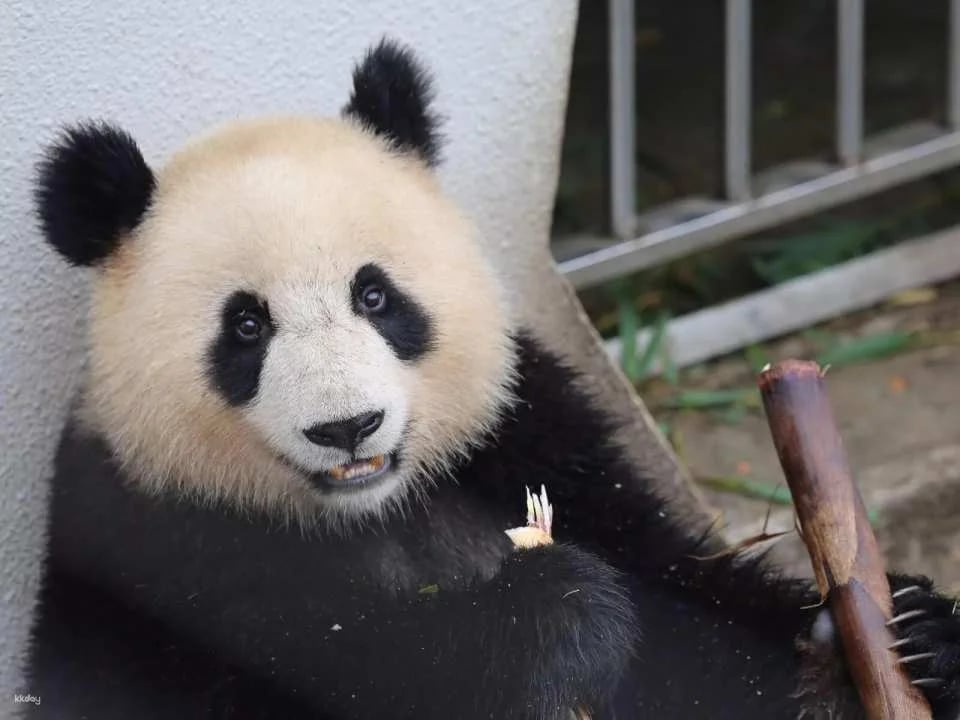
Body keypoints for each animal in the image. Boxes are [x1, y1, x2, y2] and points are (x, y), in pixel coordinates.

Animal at [23, 38, 960, 720]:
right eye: (246, 326)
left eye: (374, 294)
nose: (347, 428)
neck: (374, 509)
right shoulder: (147, 536)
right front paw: (553, 610)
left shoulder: (534, 437)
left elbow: (689, 605)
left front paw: (896, 642)